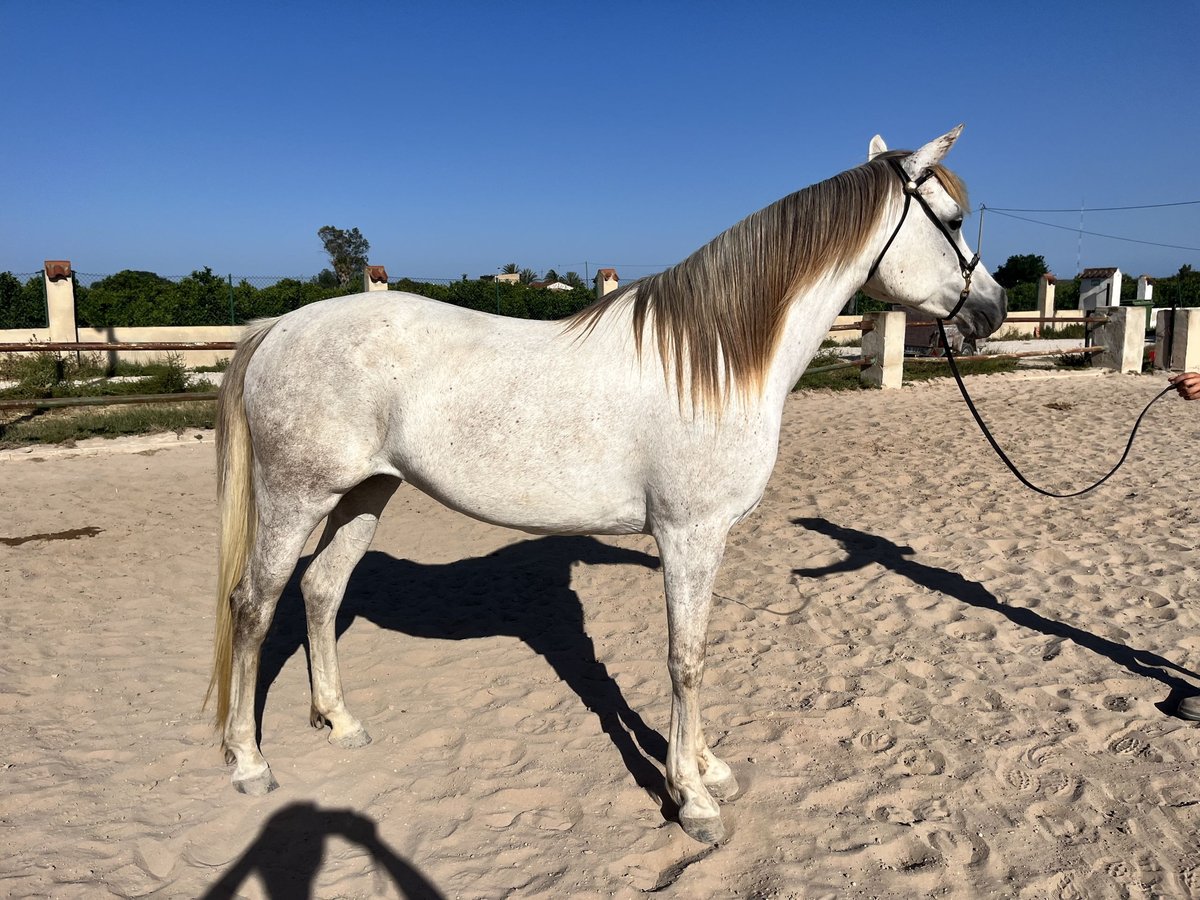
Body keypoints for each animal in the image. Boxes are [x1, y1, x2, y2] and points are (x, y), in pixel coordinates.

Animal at [204, 125, 1003, 844]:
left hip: (365, 494)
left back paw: (340, 722)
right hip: (296, 496)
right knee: (256, 603)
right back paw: (247, 761)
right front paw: (692, 799)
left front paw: (709, 769)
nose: (991, 311)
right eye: (952, 220)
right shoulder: (689, 536)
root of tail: (281, 327)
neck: (714, 360)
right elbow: (686, 660)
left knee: (321, 590)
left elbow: (696, 652)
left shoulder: (702, 542)